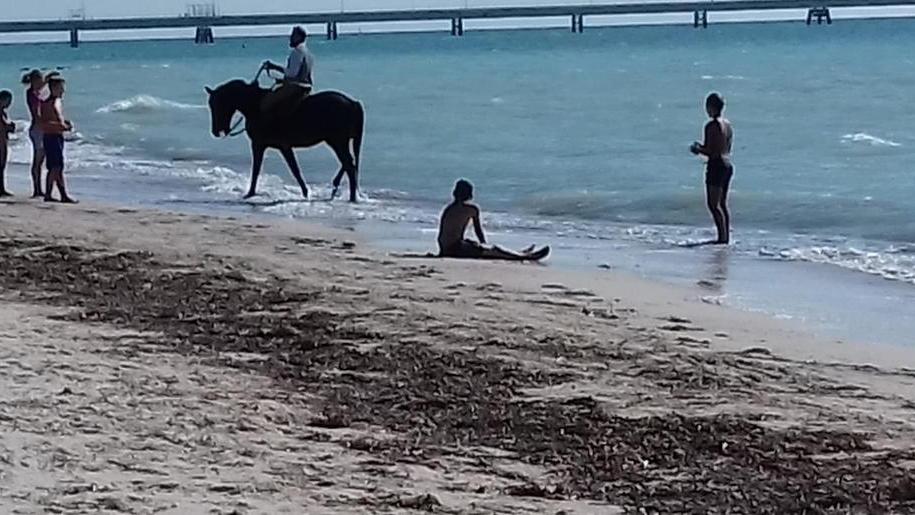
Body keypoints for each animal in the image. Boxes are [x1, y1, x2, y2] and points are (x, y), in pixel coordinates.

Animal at [205, 79, 365, 202]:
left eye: (217, 104)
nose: (216, 131)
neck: (256, 106)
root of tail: (352, 102)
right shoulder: (272, 146)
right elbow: (282, 168)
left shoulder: (266, 145)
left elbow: (280, 169)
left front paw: (250, 193)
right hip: (338, 141)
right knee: (349, 163)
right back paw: (337, 188)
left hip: (338, 142)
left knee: (349, 165)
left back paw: (351, 197)